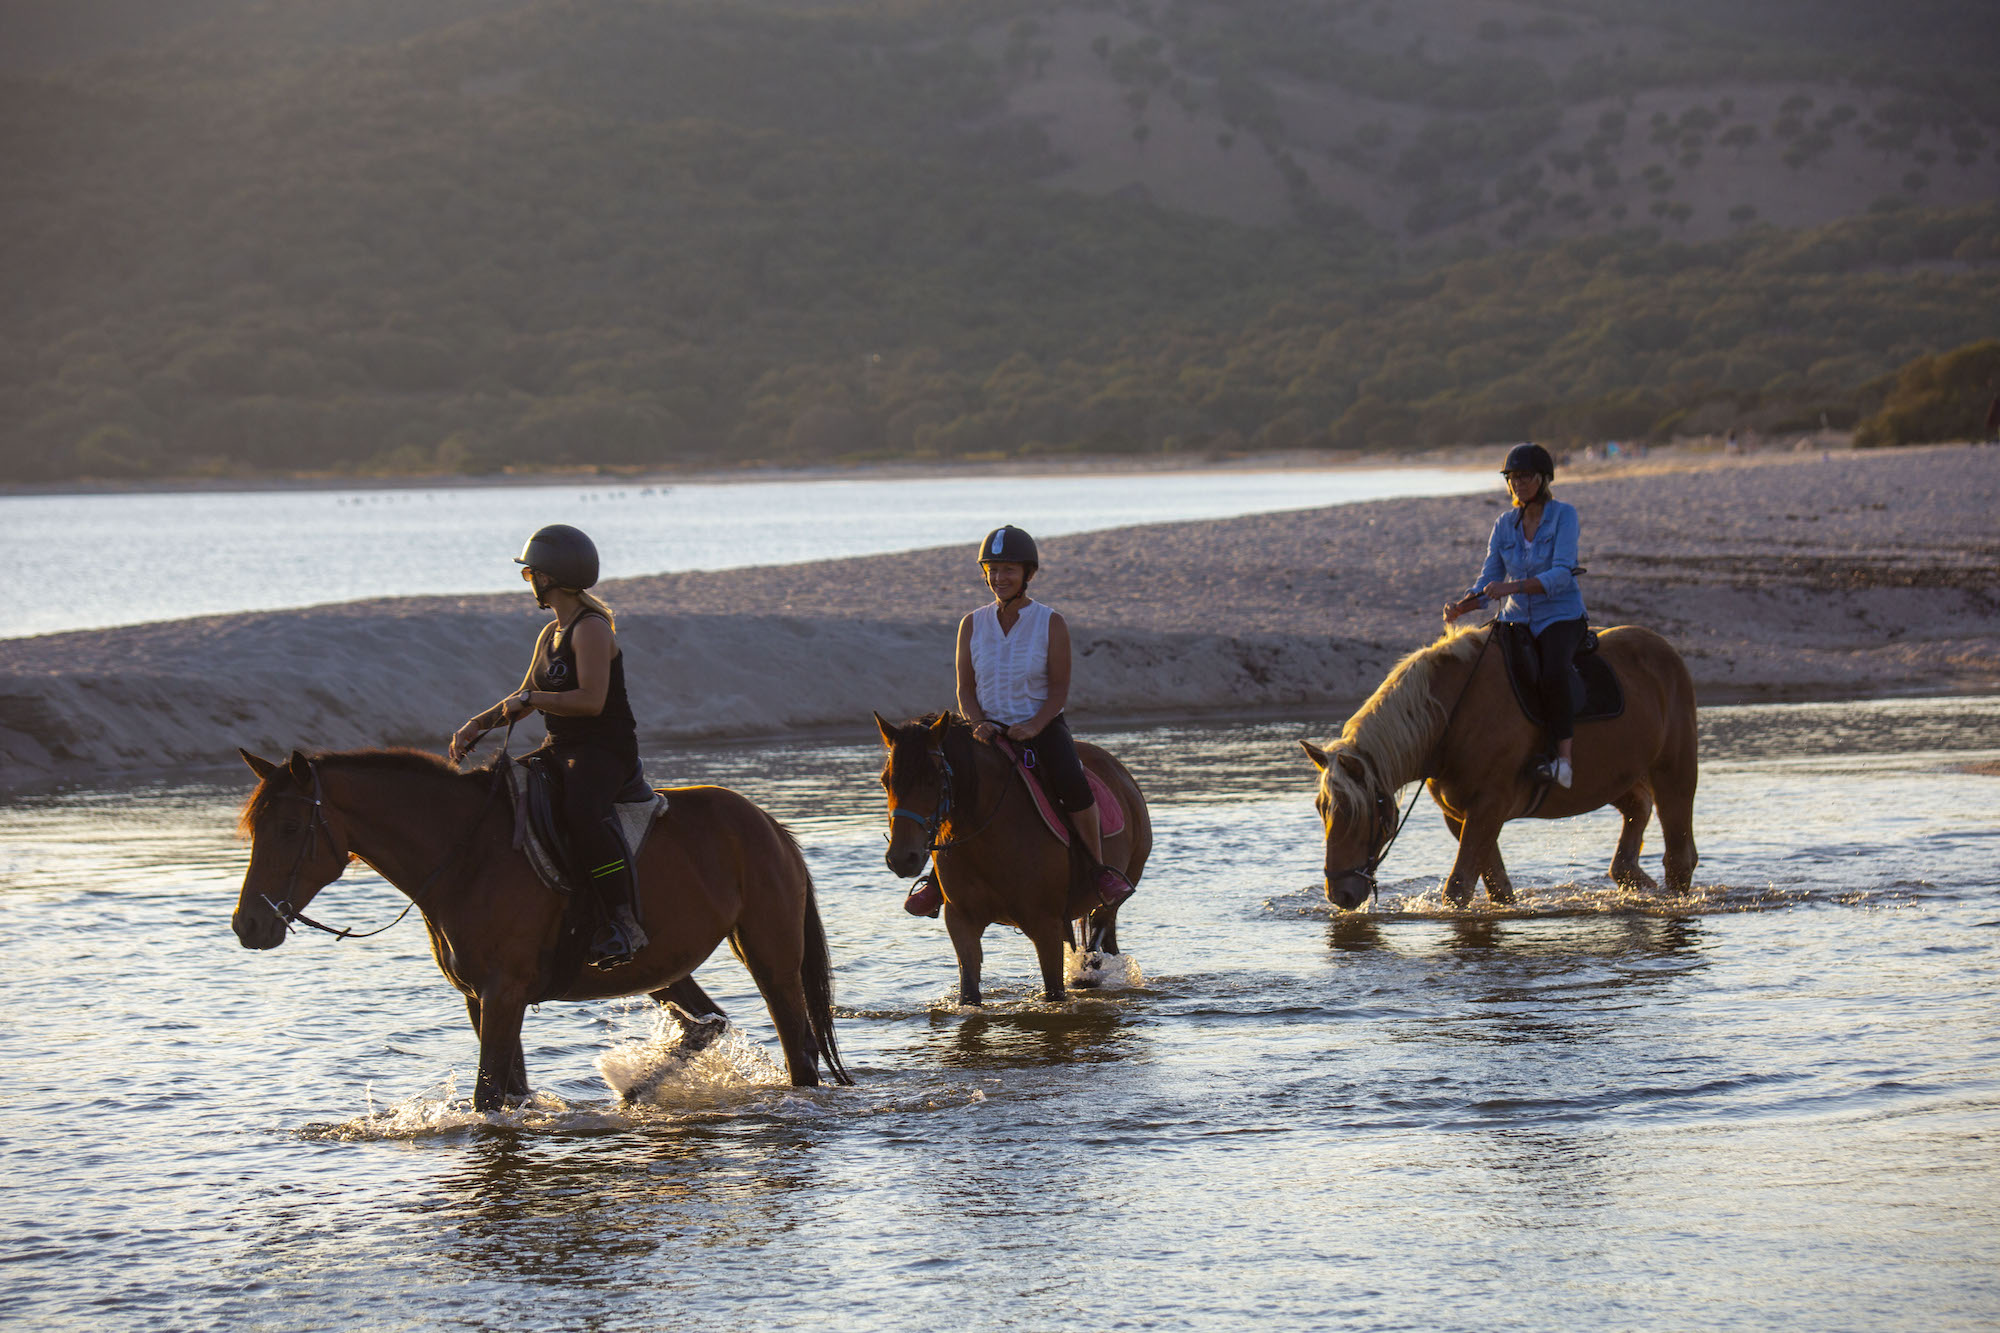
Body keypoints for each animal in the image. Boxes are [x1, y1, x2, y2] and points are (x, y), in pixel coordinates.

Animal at [230, 740, 848, 1104]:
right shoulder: (482, 998)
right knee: (707, 1023)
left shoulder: (503, 994)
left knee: (797, 1050)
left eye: (290, 828)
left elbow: (486, 1097)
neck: (466, 855)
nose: (248, 925)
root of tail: (769, 825)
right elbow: (510, 1091)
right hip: (663, 967)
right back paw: (635, 1089)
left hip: (768, 953)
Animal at [880, 712, 1160, 1000]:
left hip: (1114, 893)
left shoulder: (1046, 926)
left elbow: (1054, 992)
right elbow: (969, 994)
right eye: (885, 781)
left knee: (1099, 937)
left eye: (932, 780)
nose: (901, 858)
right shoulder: (961, 922)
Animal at [1296, 624, 1704, 904]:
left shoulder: (1488, 808)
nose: (1340, 894)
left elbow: (1459, 888)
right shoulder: (1463, 815)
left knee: (1679, 855)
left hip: (1674, 769)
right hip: (1612, 778)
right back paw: (1635, 881)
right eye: (1321, 809)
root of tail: (1664, 649)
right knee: (1638, 812)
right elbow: (1497, 886)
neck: (1450, 719)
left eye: (1355, 812)